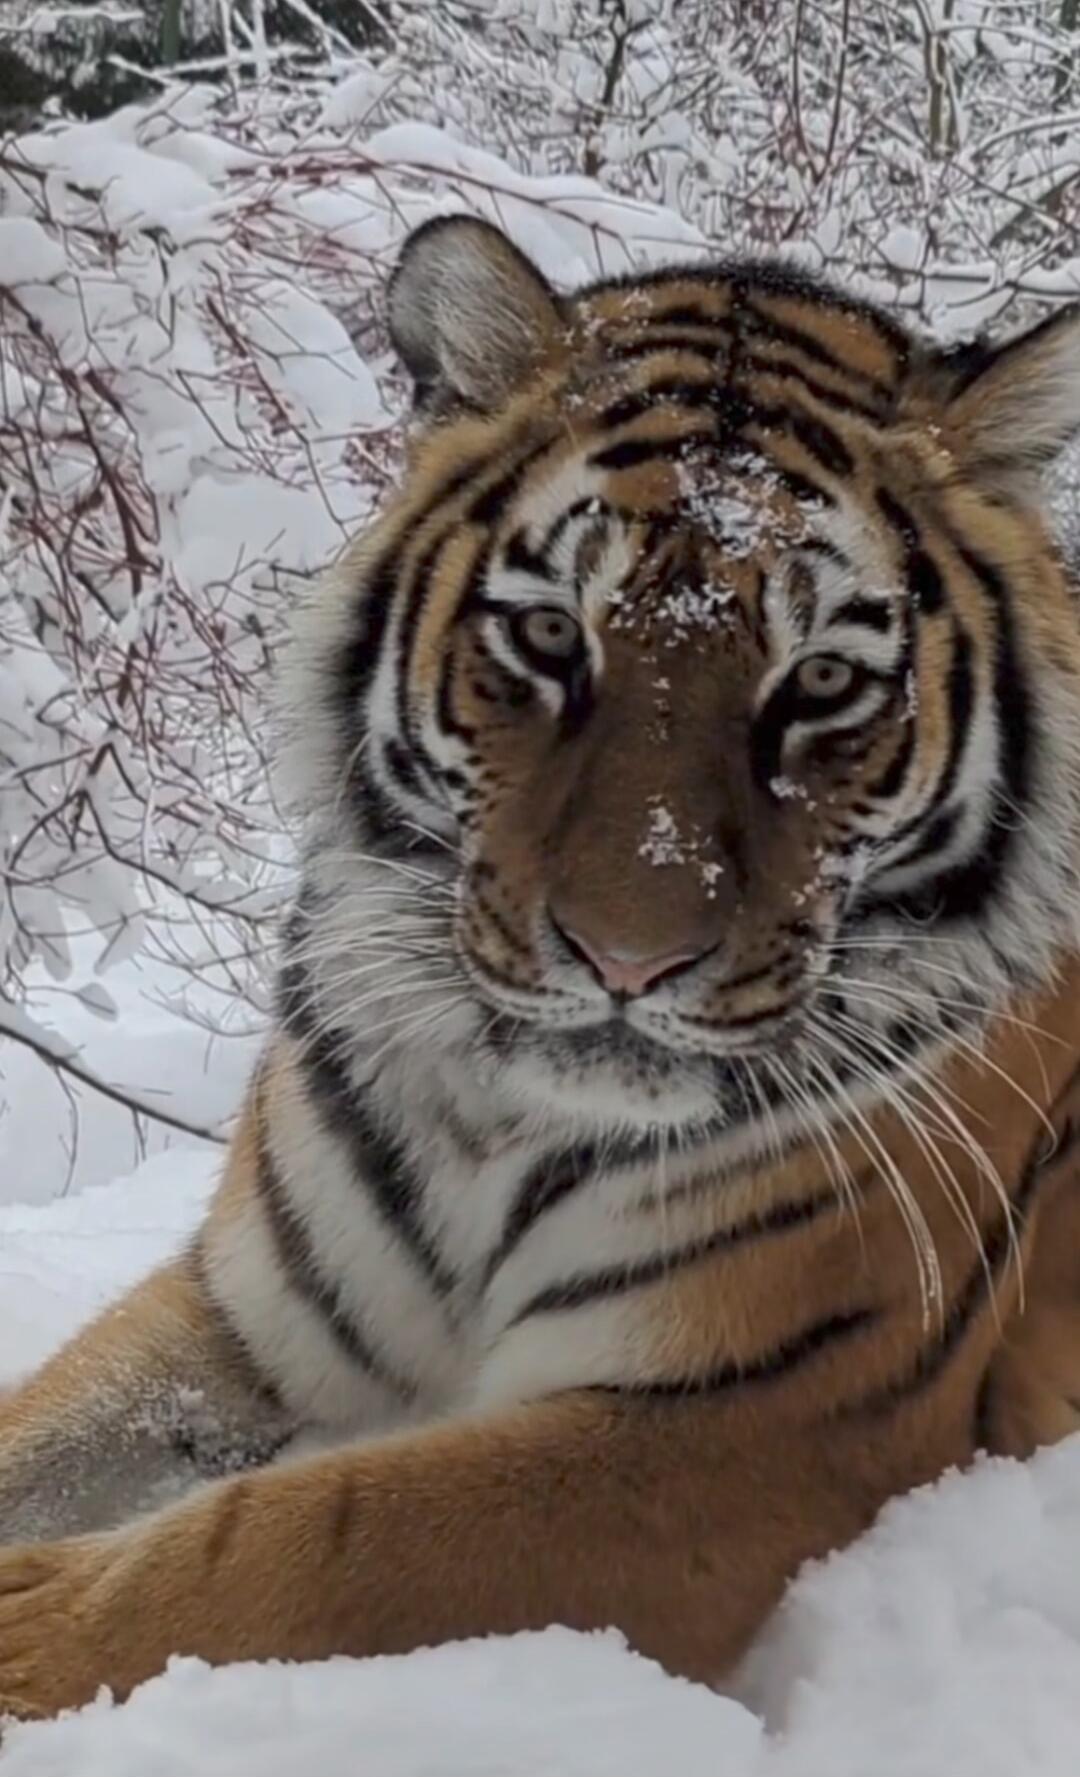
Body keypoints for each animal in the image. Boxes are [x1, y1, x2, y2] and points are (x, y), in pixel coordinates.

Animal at [2, 214, 1080, 1721]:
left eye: (820, 683)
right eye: (551, 636)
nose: (629, 958)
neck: (496, 1119)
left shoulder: (741, 1421)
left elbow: (288, 1545)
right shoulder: (248, 1319)